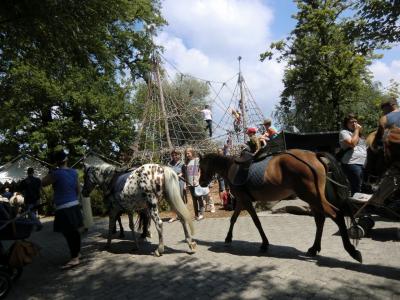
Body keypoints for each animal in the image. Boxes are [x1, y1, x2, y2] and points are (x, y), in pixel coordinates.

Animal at [200, 150, 362, 262]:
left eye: (201, 166)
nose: (201, 183)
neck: (231, 168)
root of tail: (314, 155)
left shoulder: (245, 201)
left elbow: (256, 222)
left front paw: (264, 244)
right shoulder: (241, 201)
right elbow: (233, 219)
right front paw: (228, 238)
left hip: (312, 197)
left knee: (336, 214)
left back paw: (352, 251)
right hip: (314, 199)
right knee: (320, 220)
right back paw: (314, 248)